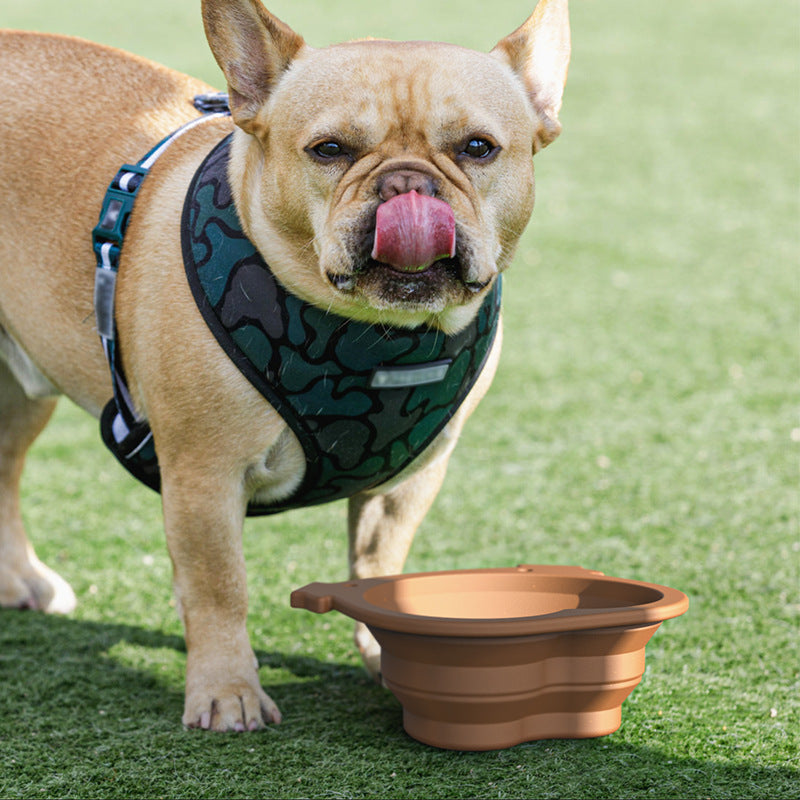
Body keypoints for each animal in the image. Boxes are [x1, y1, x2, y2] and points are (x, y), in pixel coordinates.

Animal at [0, 0, 568, 732]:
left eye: (478, 148)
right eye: (330, 149)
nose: (406, 182)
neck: (374, 337)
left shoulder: (407, 482)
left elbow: (379, 567)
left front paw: (393, 654)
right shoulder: (204, 476)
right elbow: (219, 587)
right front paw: (226, 690)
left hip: (20, 394)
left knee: (4, 470)